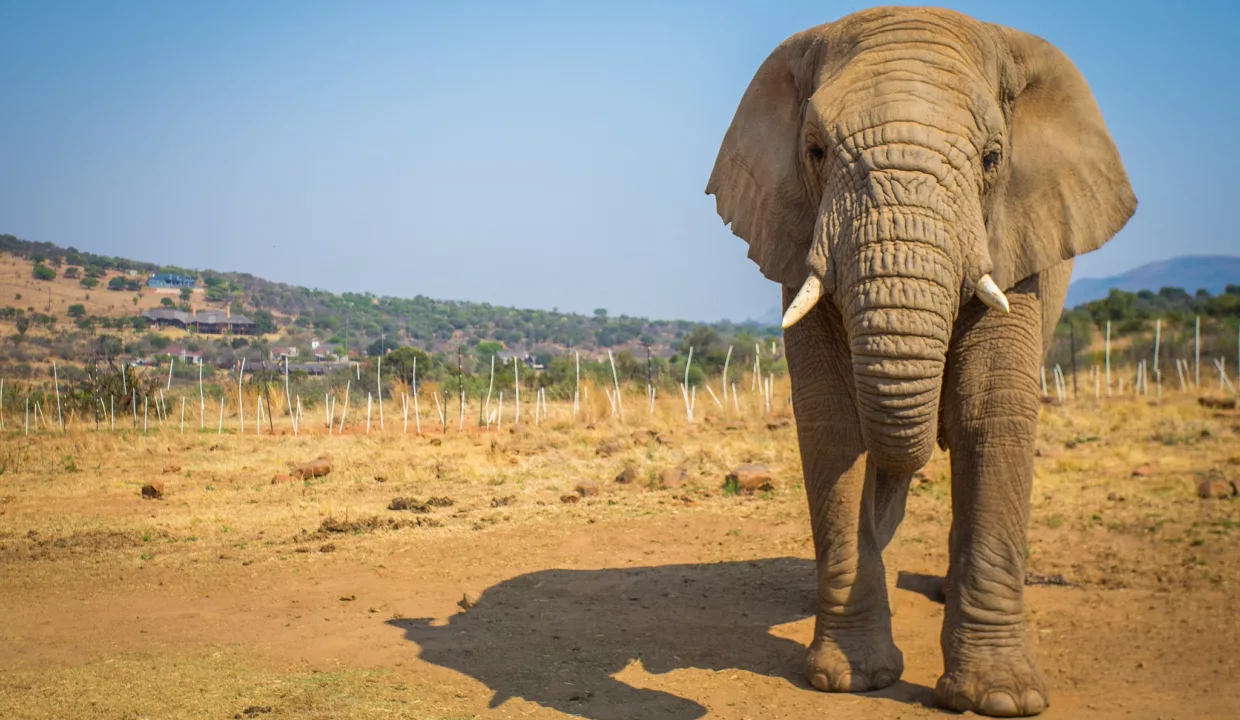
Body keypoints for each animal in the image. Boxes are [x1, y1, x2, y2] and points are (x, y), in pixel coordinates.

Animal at [709, 4, 1135, 713]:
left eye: (992, 158)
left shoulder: (1016, 243)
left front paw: (1000, 700)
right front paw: (847, 680)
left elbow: (989, 411)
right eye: (815, 151)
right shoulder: (794, 236)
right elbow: (833, 424)